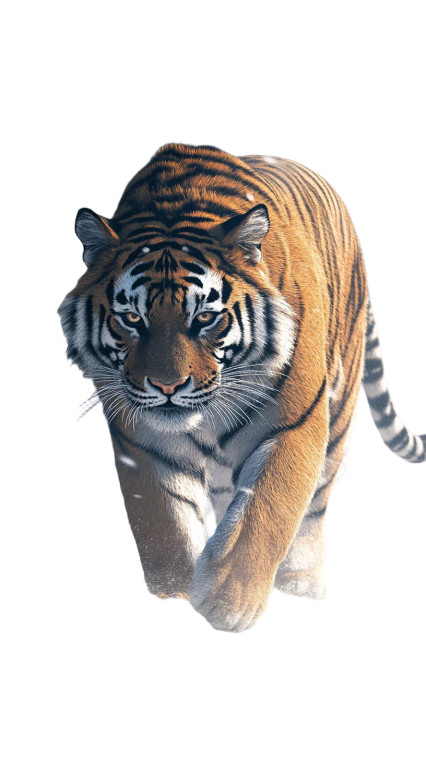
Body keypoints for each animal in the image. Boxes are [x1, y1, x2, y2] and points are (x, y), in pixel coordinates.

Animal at [58, 143, 425, 632]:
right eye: (132, 318)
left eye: (205, 318)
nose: (168, 385)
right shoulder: (140, 440)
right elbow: (162, 521)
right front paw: (174, 595)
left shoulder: (296, 425)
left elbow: (266, 508)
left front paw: (229, 603)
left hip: (340, 402)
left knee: (315, 504)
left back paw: (303, 584)